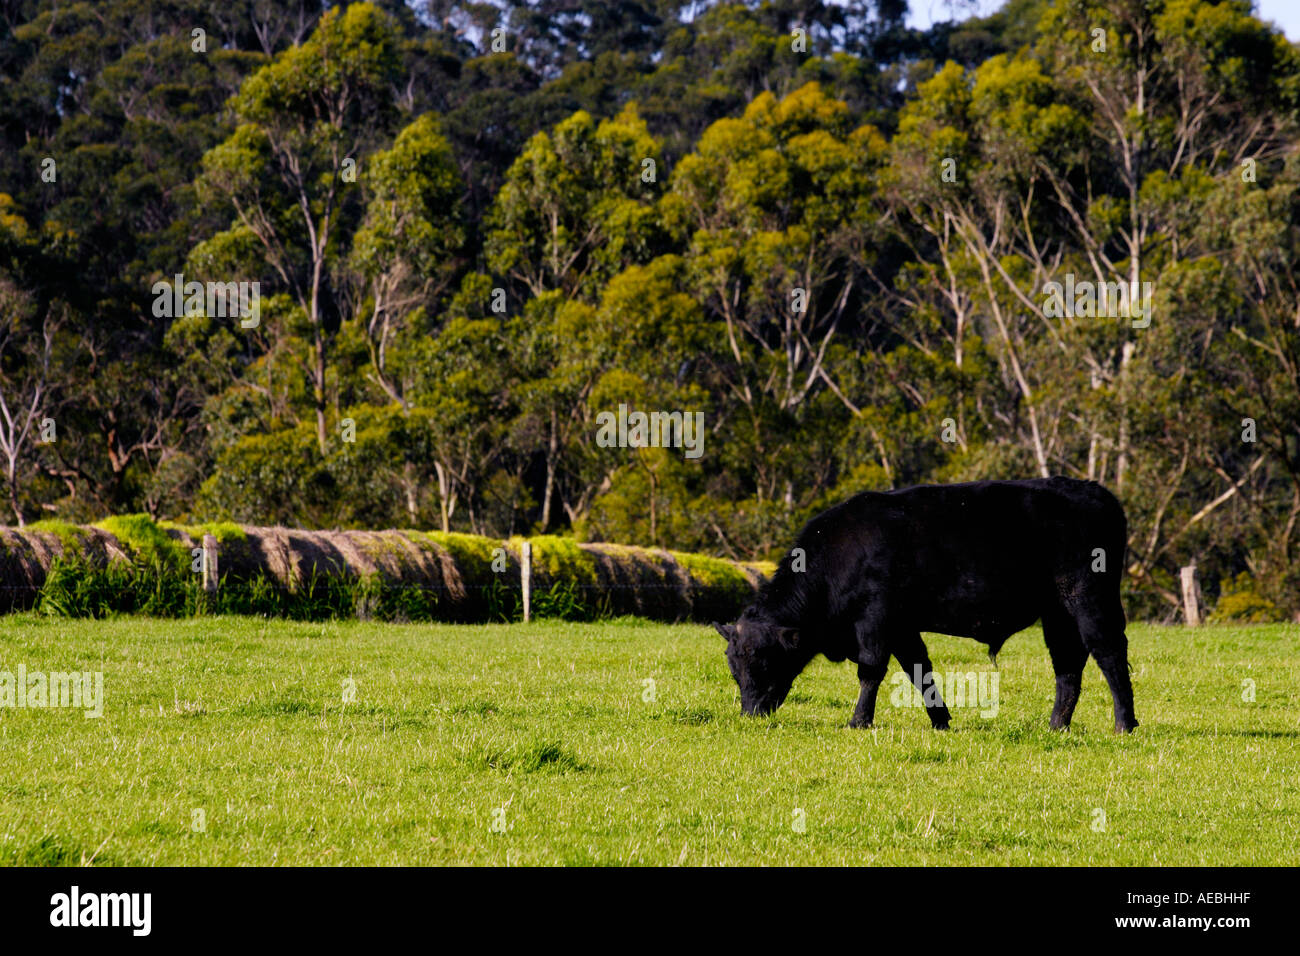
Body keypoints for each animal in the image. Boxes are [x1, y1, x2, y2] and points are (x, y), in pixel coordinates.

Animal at [712, 478, 1138, 733]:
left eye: (764, 661)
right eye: (734, 669)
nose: (750, 714)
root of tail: (1095, 491)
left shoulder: (876, 620)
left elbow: (871, 672)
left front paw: (859, 721)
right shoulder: (903, 628)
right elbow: (920, 671)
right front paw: (941, 721)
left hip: (1089, 601)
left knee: (1109, 655)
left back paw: (1125, 724)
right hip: (1057, 614)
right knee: (1068, 666)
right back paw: (1056, 726)